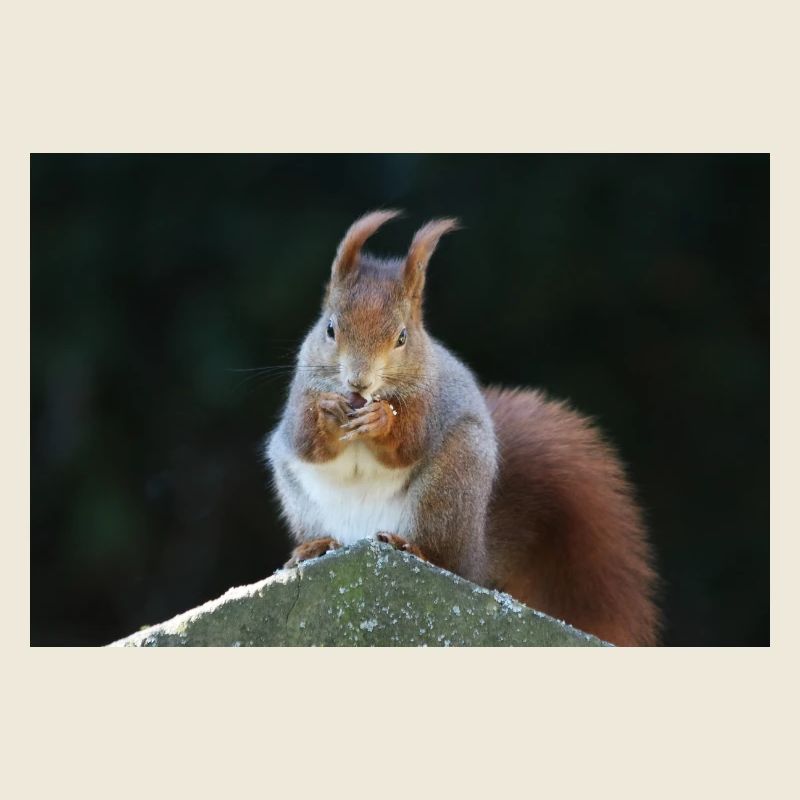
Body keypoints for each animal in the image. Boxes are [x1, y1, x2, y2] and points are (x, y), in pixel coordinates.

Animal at [266, 210, 660, 646]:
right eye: (330, 329)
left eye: (402, 337)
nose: (359, 383)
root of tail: (477, 554)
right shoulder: (298, 400)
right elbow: (306, 441)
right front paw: (328, 411)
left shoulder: (430, 402)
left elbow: (408, 444)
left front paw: (382, 419)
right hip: (300, 498)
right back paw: (314, 548)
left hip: (449, 487)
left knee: (446, 559)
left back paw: (413, 549)